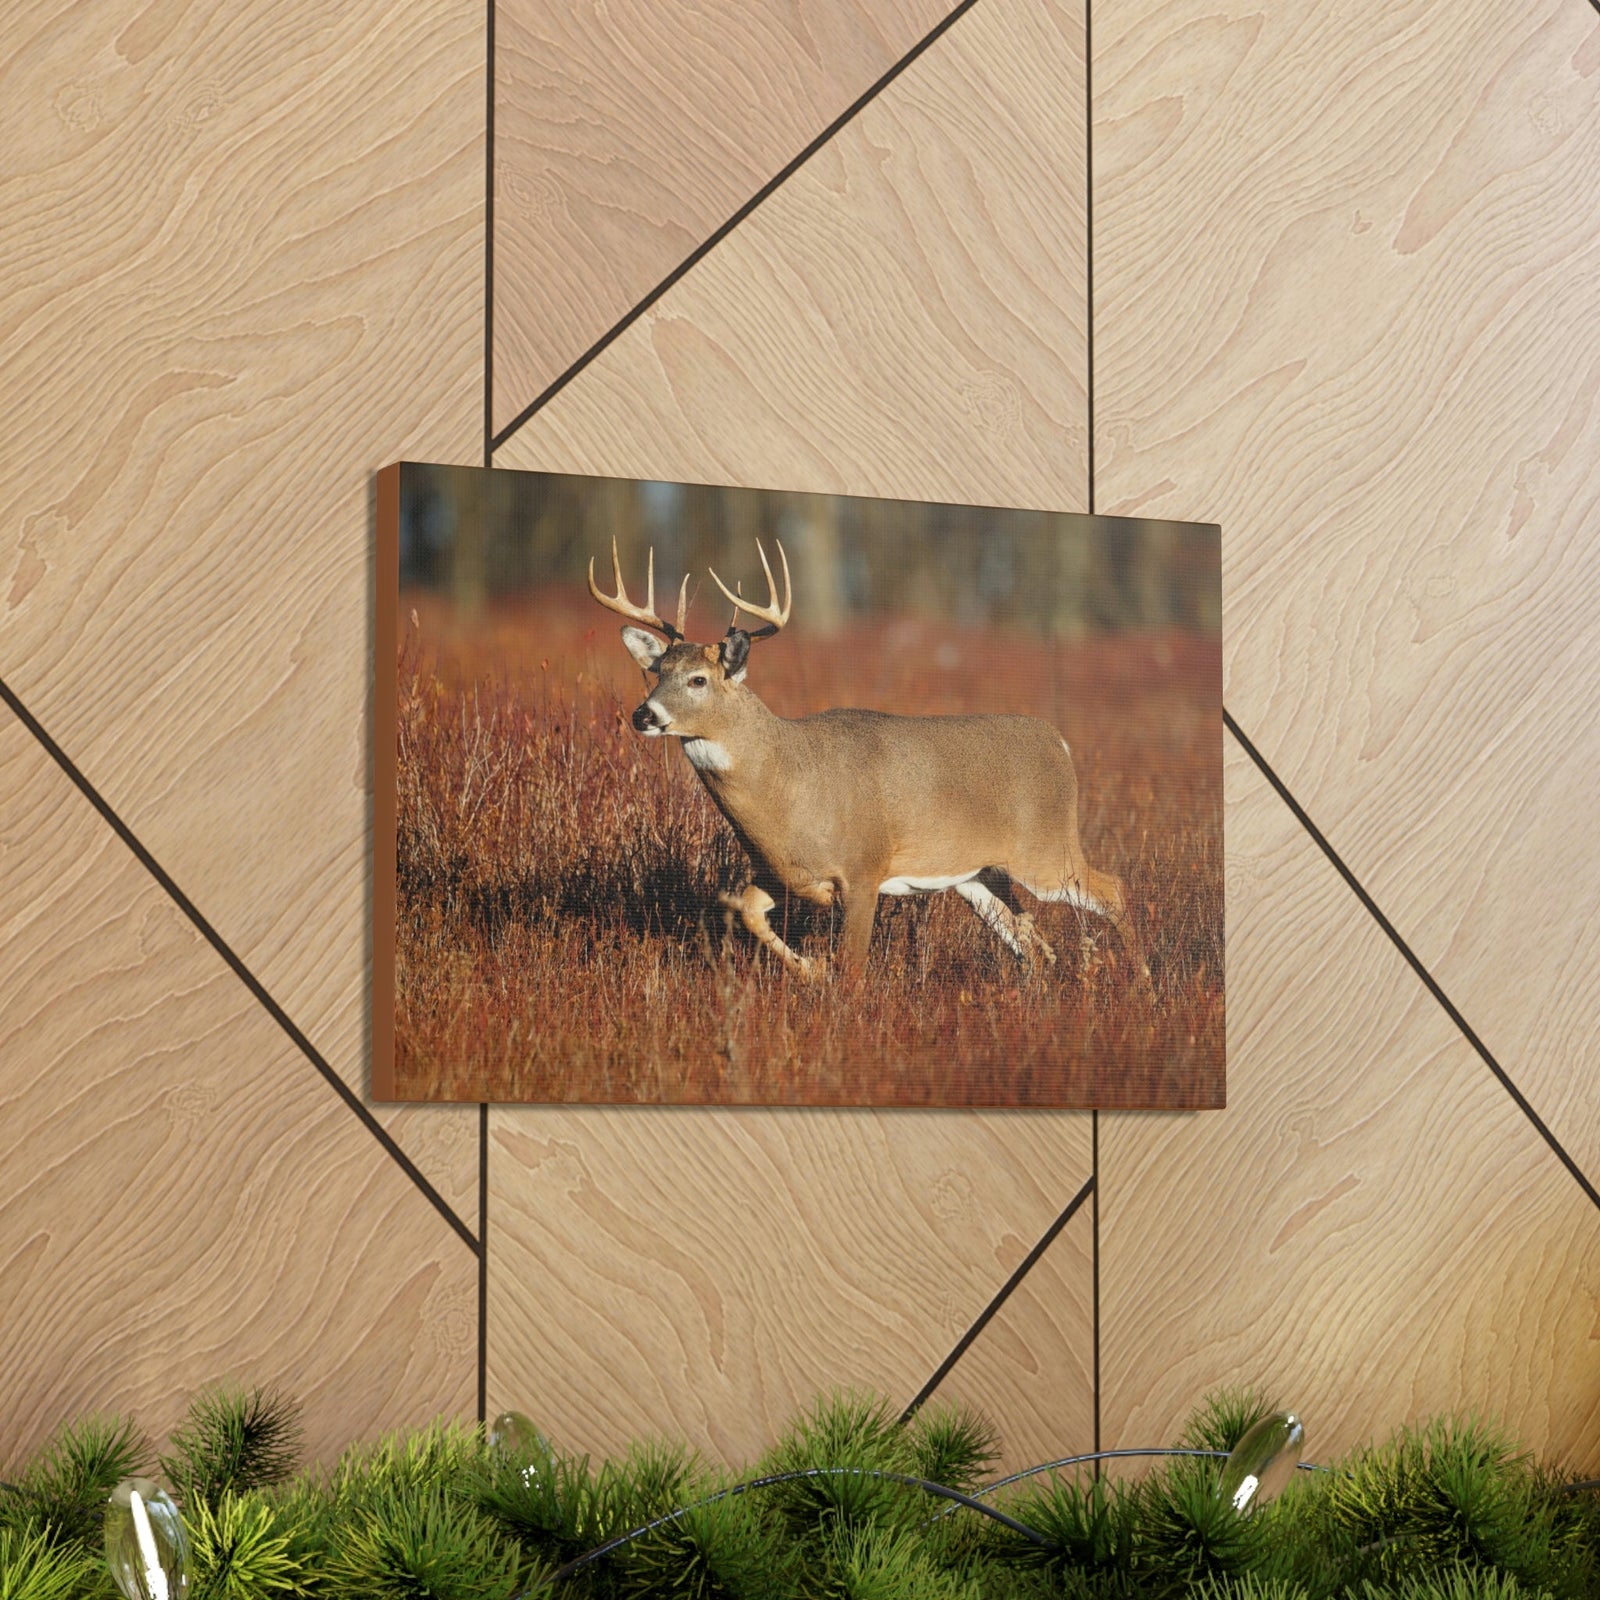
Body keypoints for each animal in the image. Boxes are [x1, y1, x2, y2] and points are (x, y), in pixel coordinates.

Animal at [588, 537, 1146, 984]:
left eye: (698, 680)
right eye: (656, 671)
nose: (643, 714)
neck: (788, 785)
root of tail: (1060, 743)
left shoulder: (863, 867)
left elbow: (853, 966)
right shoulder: (781, 873)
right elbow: (747, 912)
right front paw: (812, 970)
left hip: (1045, 850)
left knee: (1112, 890)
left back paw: (1143, 983)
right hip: (978, 873)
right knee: (1027, 935)